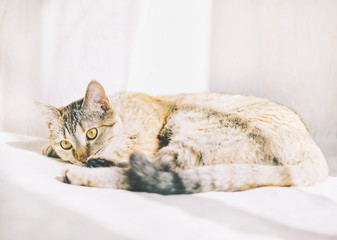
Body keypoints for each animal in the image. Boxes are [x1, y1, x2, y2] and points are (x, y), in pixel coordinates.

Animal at [36, 80, 328, 195]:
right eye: (66, 144)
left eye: (92, 133)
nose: (81, 156)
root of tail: (317, 156)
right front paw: (49, 149)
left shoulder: (143, 141)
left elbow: (126, 151)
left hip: (192, 137)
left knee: (144, 173)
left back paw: (83, 173)